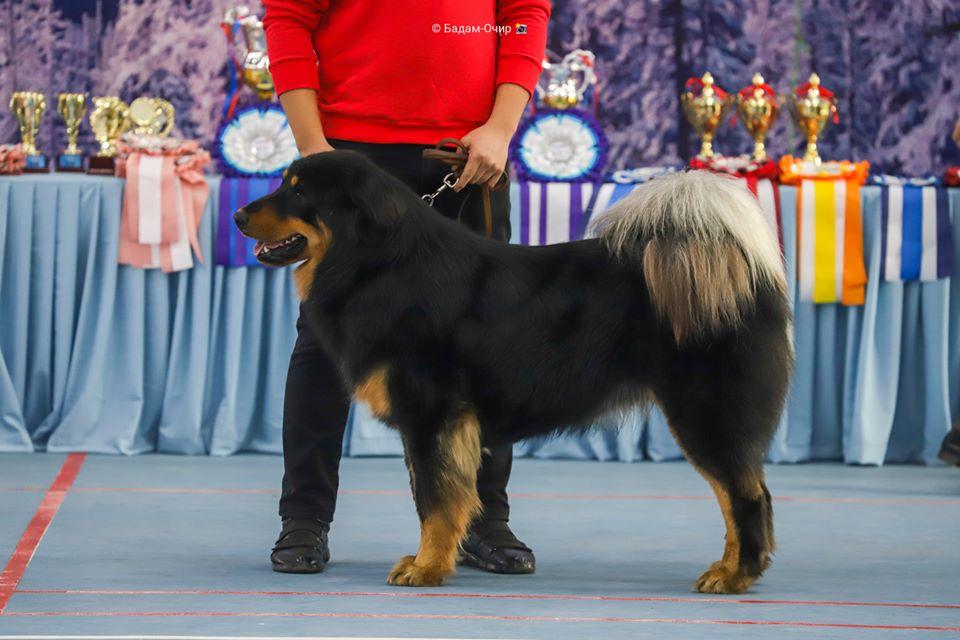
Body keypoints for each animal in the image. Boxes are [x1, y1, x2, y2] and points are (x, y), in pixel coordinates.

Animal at [236, 151, 792, 596]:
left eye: (298, 191)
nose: (239, 214)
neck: (380, 265)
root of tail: (740, 268)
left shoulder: (432, 415)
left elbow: (436, 501)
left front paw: (426, 568)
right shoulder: (438, 426)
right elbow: (439, 497)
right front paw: (431, 559)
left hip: (706, 413)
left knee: (747, 497)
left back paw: (735, 575)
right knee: (741, 496)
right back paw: (729, 568)